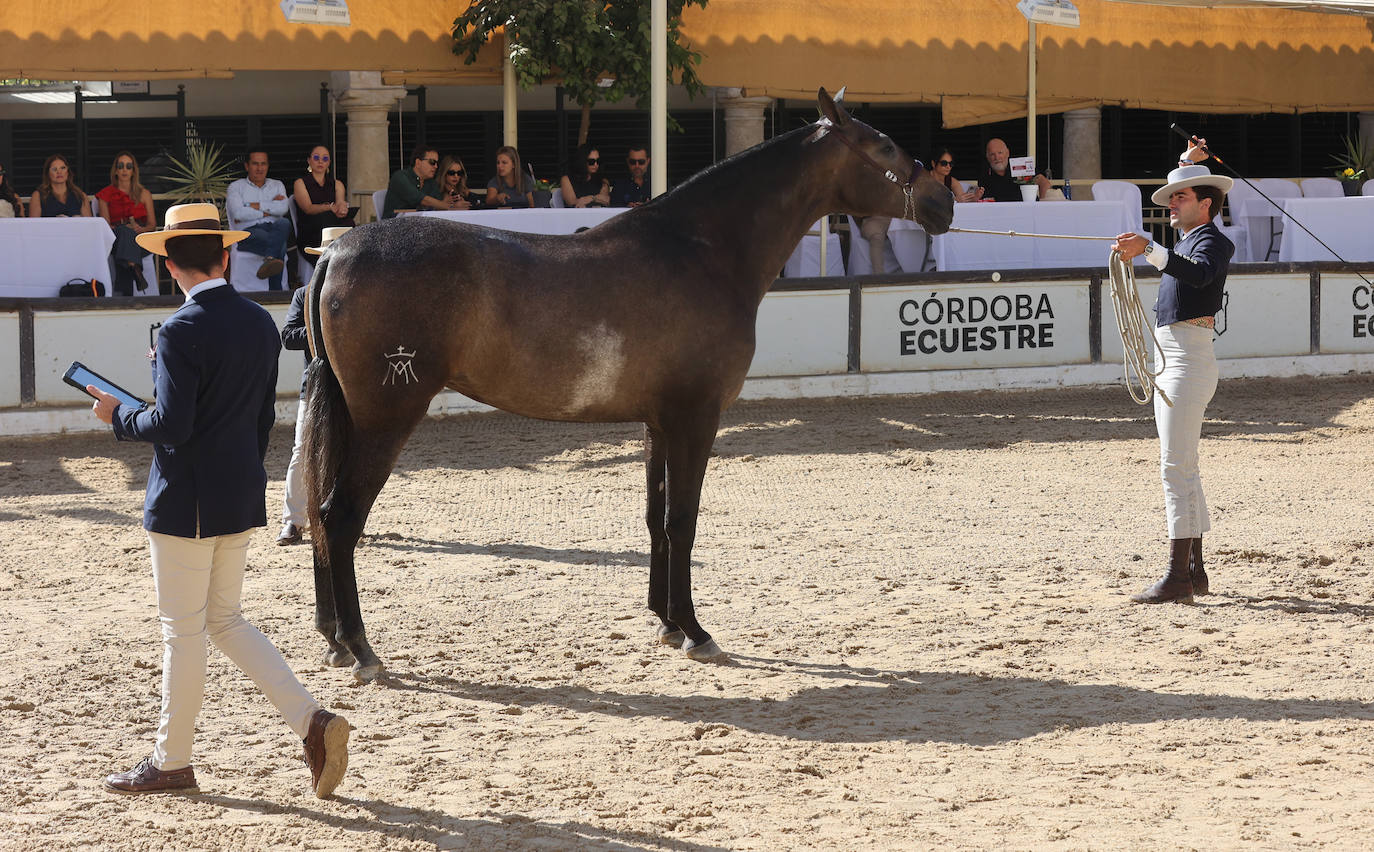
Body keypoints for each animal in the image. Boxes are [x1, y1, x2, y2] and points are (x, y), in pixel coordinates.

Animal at [303, 88, 953, 682]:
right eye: (884, 145)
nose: (943, 199)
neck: (702, 251)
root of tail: (337, 251)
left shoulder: (658, 424)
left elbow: (655, 517)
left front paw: (666, 623)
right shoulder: (696, 419)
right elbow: (682, 520)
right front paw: (696, 631)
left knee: (319, 515)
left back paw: (333, 641)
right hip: (386, 421)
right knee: (340, 518)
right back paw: (360, 648)